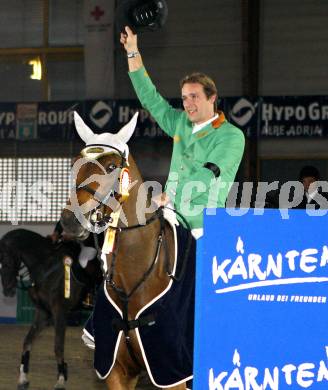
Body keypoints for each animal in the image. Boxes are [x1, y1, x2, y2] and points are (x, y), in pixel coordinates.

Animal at [0, 229, 101, 390]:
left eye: (7, 256)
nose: (8, 290)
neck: (46, 266)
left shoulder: (59, 312)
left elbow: (58, 347)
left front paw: (61, 380)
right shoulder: (43, 312)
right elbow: (27, 342)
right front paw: (23, 379)